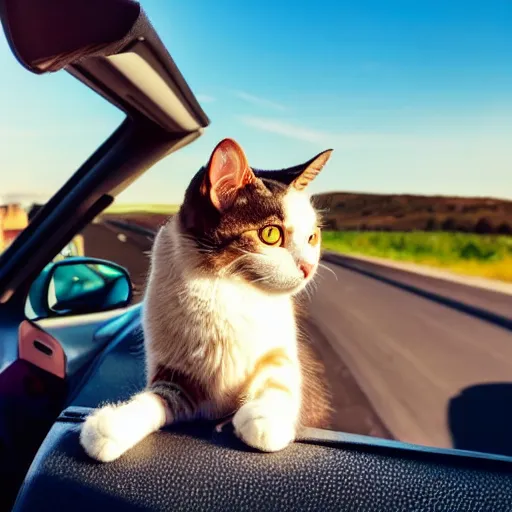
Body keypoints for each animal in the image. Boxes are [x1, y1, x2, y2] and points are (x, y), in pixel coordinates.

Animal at [80, 138, 334, 462]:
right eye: (270, 234)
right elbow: (156, 398)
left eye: (312, 237)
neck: (225, 289)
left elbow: (278, 378)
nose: (308, 267)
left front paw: (265, 418)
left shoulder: (277, 349)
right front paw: (115, 424)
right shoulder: (176, 374)